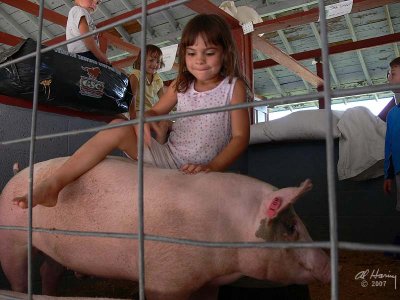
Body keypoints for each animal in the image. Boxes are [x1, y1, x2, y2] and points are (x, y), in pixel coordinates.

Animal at [0, 157, 330, 300]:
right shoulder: (166, 279)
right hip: (11, 235)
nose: (330, 262)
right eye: (291, 227)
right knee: (18, 274)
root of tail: (15, 175)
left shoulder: (207, 282)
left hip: (52, 246)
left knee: (49, 270)